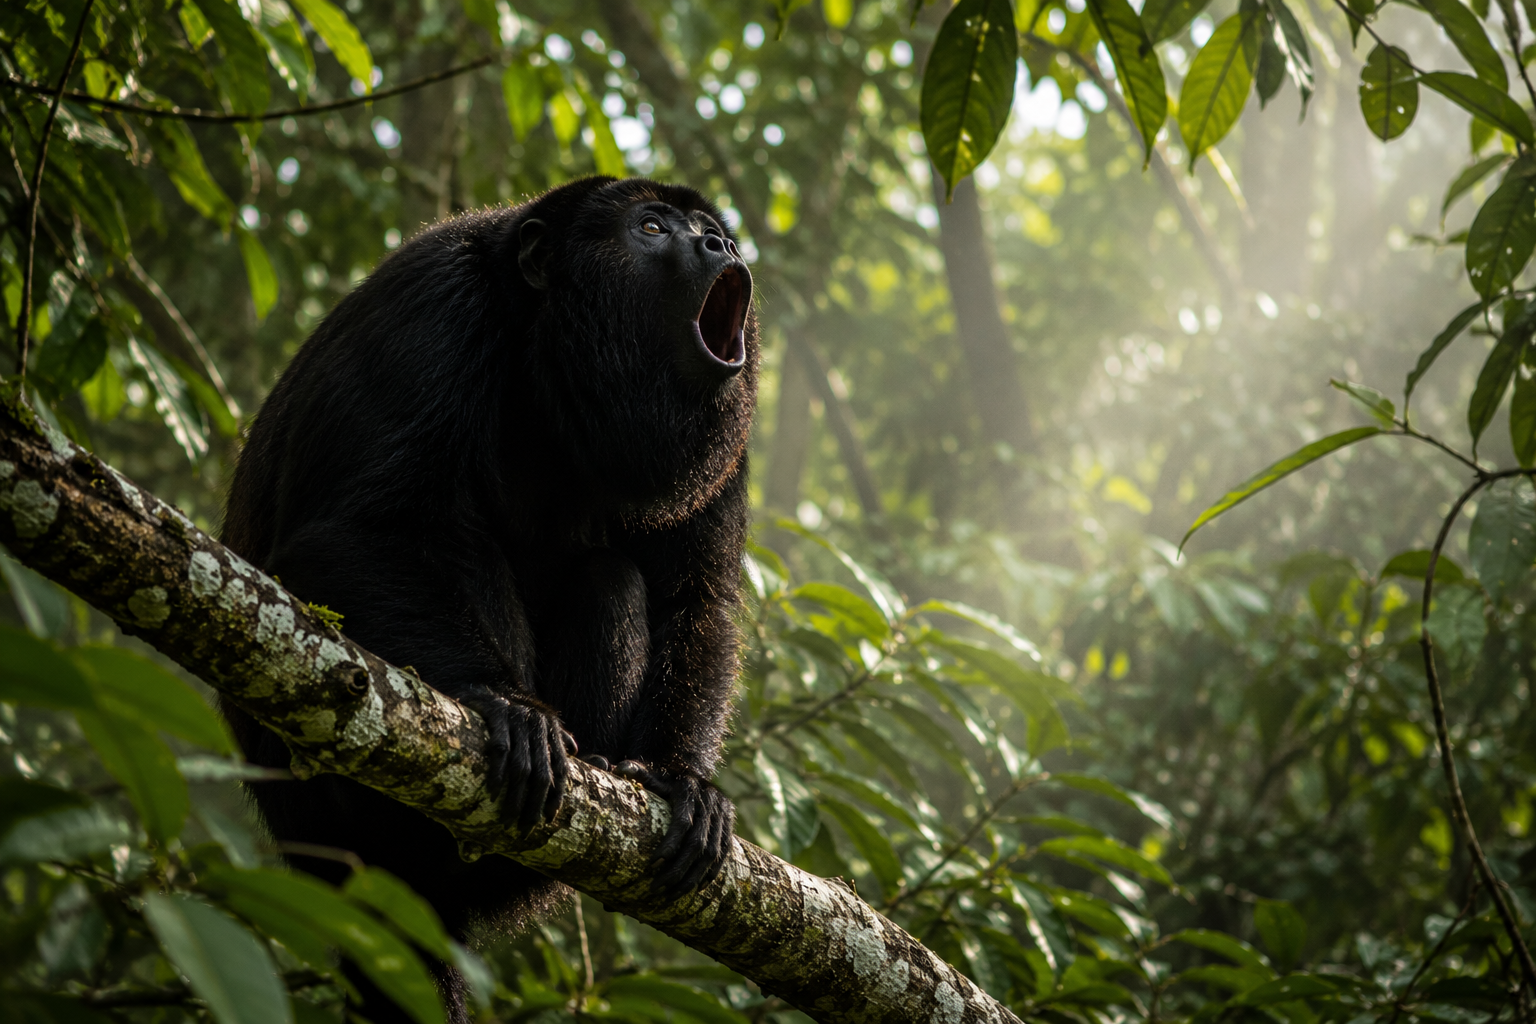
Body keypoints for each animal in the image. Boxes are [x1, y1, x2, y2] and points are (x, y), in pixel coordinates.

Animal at [219, 176, 758, 1023]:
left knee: (610, 579)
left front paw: (687, 782)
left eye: (712, 231)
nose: (721, 246)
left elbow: (695, 602)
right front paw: (500, 702)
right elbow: (349, 533)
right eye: (650, 227)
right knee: (461, 539)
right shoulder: (434, 307)